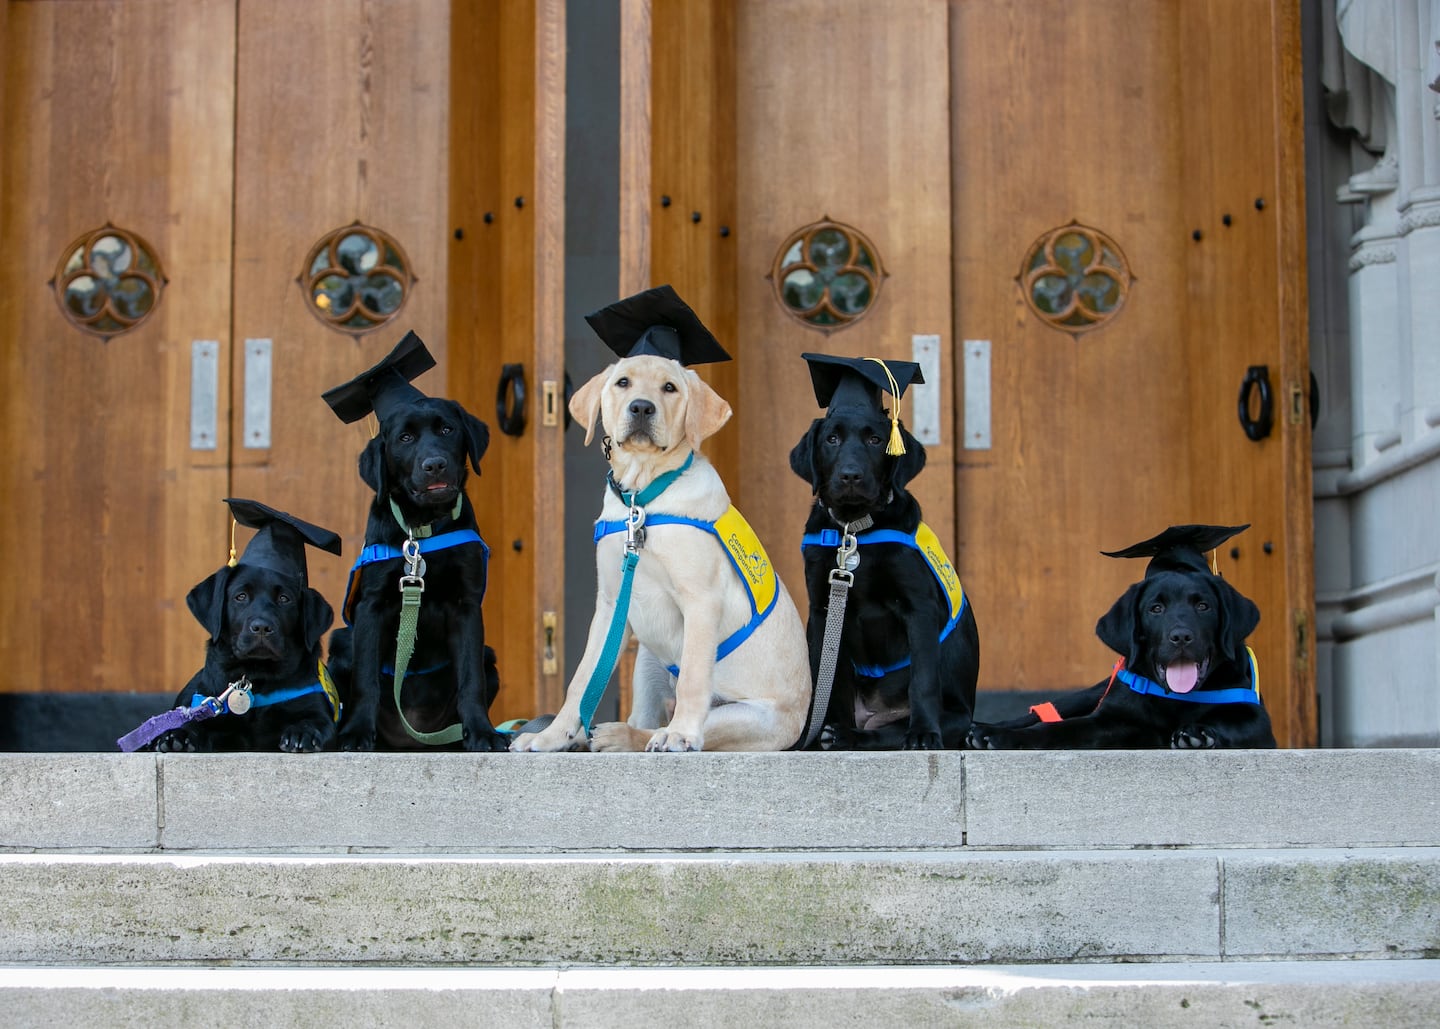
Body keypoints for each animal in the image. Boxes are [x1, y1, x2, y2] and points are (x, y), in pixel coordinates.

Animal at [153, 497, 341, 748]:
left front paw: (304, 733)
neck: (255, 679)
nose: (261, 628)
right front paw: (178, 736)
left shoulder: (316, 710)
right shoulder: (212, 713)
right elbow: (195, 725)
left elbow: (316, 722)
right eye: (240, 596)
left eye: (285, 599)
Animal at [325, 333, 506, 754]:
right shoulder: (372, 606)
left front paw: (483, 732)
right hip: (341, 642)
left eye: (447, 431)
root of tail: (409, 740)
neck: (422, 529)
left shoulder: (466, 606)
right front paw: (356, 733)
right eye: (405, 438)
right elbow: (366, 680)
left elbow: (470, 679)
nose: (434, 465)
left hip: (489, 656)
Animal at [515, 358, 812, 754]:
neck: (643, 498)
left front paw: (680, 732)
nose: (641, 407)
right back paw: (587, 737)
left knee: (660, 725)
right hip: (646, 660)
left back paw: (628, 735)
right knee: (642, 717)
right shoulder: (610, 604)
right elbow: (581, 680)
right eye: (623, 383)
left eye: (669, 388)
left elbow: (693, 679)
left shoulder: (701, 600)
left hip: (746, 717)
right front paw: (551, 736)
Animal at [789, 354, 979, 748]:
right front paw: (810, 736)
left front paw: (923, 734)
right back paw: (831, 733)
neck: (855, 530)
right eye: (831, 439)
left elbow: (923, 679)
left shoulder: (918, 607)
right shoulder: (822, 609)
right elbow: (821, 676)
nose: (850, 475)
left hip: (954, 718)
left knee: (886, 732)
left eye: (875, 440)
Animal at [967, 523, 1272, 748]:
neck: (1176, 698)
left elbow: (1231, 723)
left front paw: (1198, 733)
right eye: (1155, 609)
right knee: (1041, 713)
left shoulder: (1258, 722)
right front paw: (1000, 736)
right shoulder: (1107, 720)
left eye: (1203, 606)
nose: (1181, 637)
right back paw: (982, 728)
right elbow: (1054, 728)